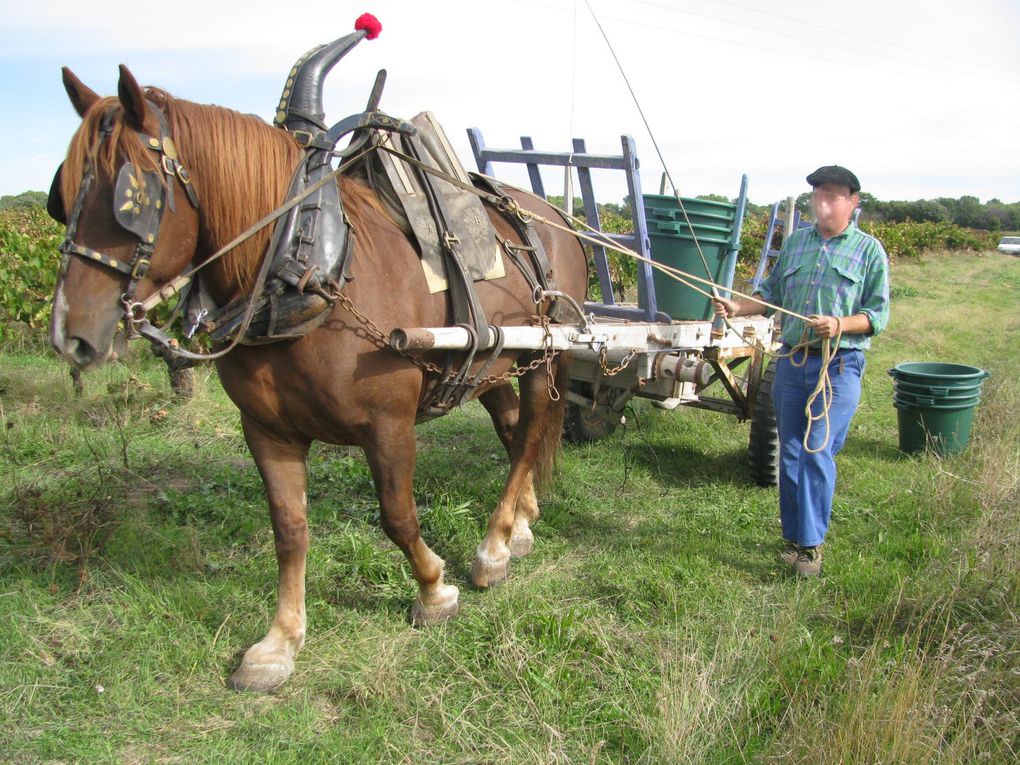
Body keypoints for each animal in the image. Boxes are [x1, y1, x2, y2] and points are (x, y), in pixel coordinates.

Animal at [49, 67, 591, 693]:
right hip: (492, 361)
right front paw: (279, 641)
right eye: (60, 197)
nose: (69, 334)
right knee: (510, 430)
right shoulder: (266, 430)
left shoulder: (388, 426)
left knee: (528, 436)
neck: (303, 272)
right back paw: (520, 523)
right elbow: (289, 530)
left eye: (131, 199)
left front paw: (434, 589)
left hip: (545, 357)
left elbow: (397, 517)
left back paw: (495, 545)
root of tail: (557, 218)